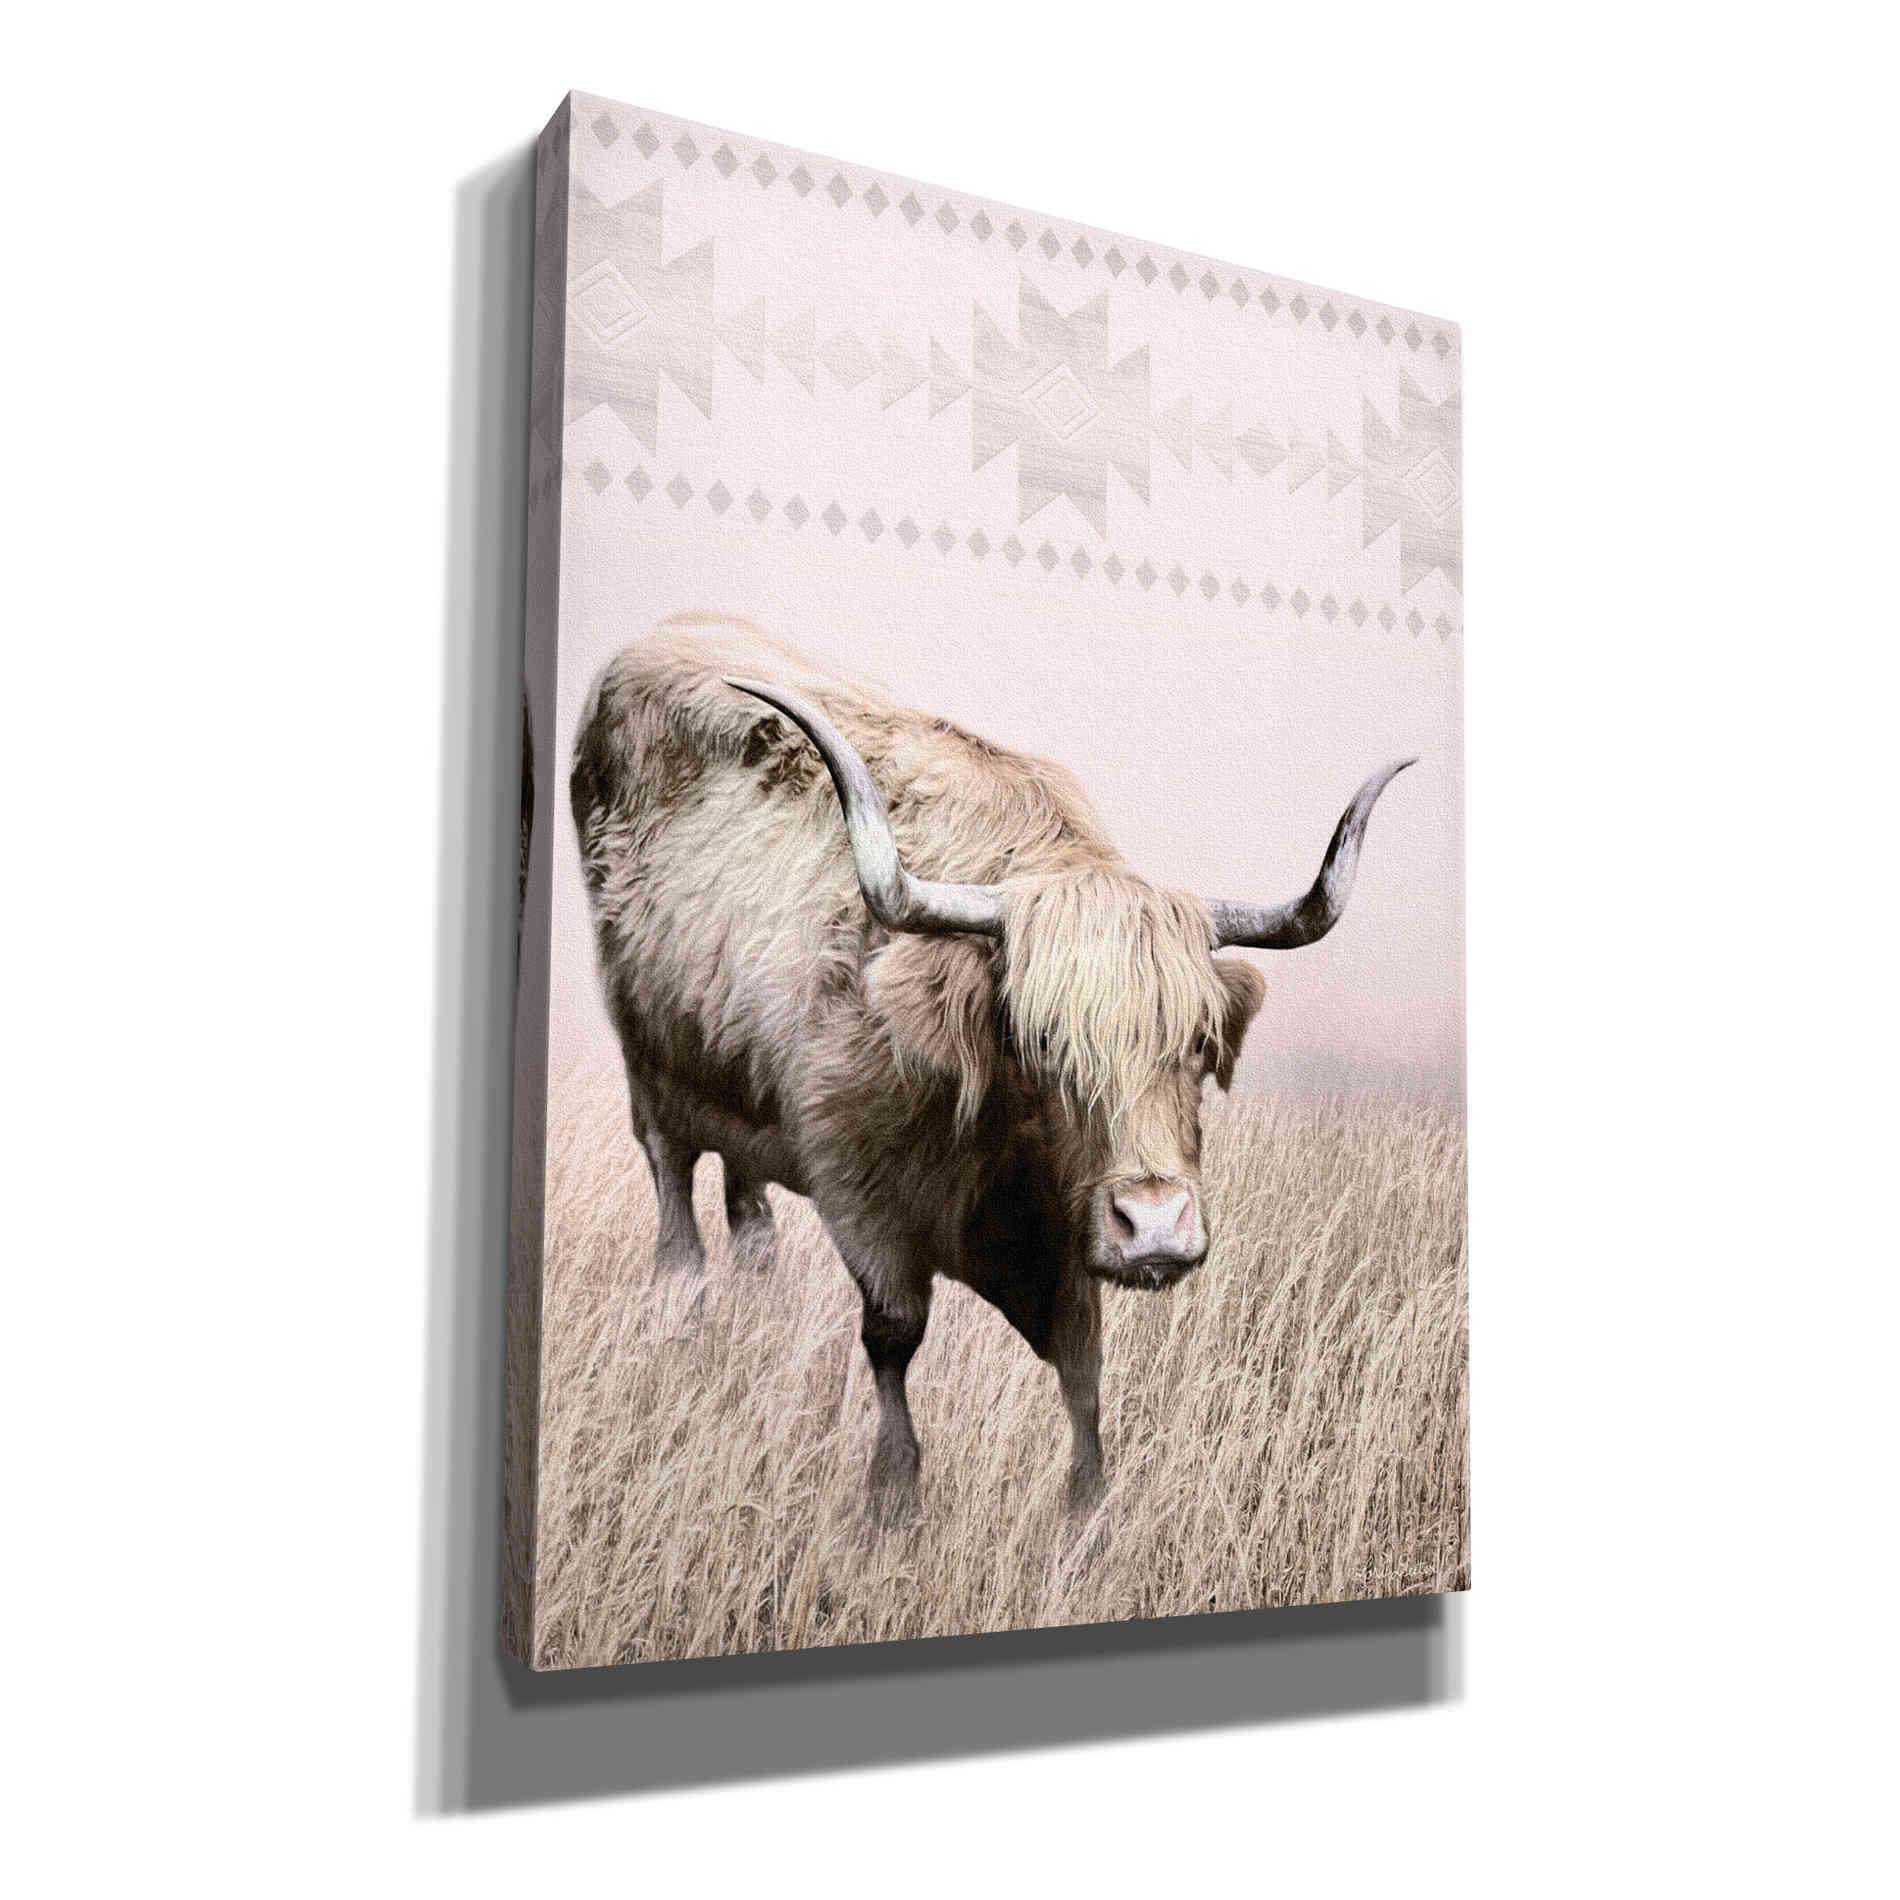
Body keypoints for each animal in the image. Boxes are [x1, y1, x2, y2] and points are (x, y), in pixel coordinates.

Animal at [569, 614, 1412, 1514]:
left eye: (1194, 1041)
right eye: (1040, 1041)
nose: (1154, 1225)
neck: (997, 1155)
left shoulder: (1067, 1243)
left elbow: (1082, 1370)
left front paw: (1086, 1508)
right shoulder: (859, 1196)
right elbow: (893, 1335)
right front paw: (894, 1494)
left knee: (750, 1218)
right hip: (649, 1074)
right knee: (676, 1216)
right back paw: (684, 1328)